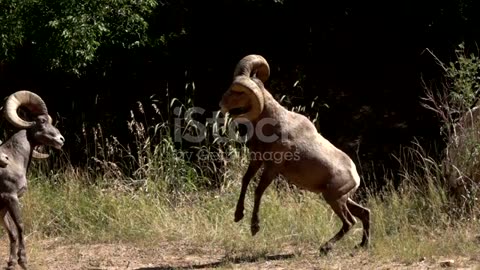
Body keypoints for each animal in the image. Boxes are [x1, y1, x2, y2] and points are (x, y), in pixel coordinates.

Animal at [0, 91, 64, 270]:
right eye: (41, 121)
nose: (61, 139)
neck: (14, 159)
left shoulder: (3, 206)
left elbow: (12, 233)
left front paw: (11, 263)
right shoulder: (11, 198)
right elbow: (20, 226)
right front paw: (23, 261)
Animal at [218, 54, 372, 253]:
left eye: (238, 92)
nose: (221, 104)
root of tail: (355, 178)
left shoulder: (272, 168)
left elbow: (259, 190)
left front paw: (255, 228)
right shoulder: (257, 160)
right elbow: (245, 181)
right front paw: (238, 216)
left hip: (334, 199)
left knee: (350, 222)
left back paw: (325, 247)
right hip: (343, 199)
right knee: (364, 213)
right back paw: (362, 245)